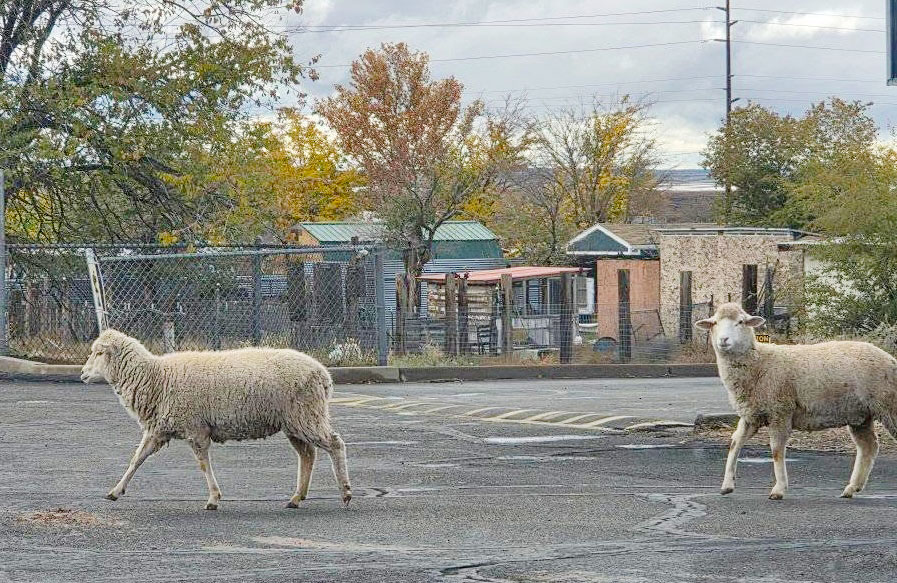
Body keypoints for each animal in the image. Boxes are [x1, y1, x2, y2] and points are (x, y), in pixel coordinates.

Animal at [80, 329, 352, 510]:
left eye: (99, 352)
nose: (82, 374)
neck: (156, 377)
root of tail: (324, 374)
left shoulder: (196, 428)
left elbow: (203, 464)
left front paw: (213, 498)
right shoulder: (158, 430)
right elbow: (136, 459)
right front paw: (115, 491)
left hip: (307, 415)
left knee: (335, 444)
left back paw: (346, 493)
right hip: (294, 422)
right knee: (307, 455)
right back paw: (296, 498)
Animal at [695, 302, 897, 500]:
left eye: (740, 322)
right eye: (714, 323)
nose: (723, 340)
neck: (760, 363)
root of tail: (890, 357)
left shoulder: (780, 410)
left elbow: (776, 450)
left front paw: (778, 489)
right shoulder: (752, 414)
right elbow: (734, 444)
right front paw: (727, 485)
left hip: (889, 405)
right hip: (860, 415)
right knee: (868, 447)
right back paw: (852, 488)